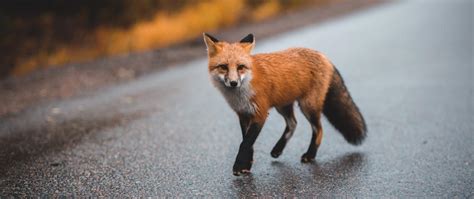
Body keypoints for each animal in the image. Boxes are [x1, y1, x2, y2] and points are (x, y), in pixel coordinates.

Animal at [204, 32, 366, 176]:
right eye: (223, 67)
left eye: (240, 67)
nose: (233, 83)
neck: (242, 92)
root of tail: (323, 56)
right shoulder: (243, 114)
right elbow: (247, 142)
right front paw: (247, 165)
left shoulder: (260, 113)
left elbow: (245, 143)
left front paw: (239, 166)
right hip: (283, 106)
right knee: (293, 124)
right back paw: (278, 149)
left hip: (307, 106)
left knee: (318, 129)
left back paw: (310, 155)